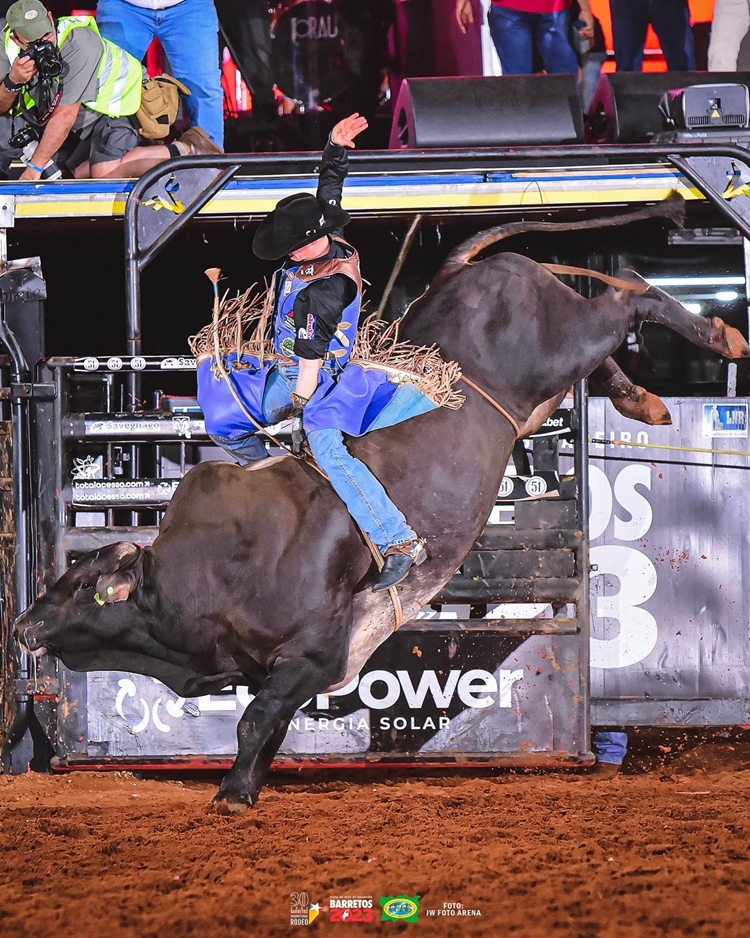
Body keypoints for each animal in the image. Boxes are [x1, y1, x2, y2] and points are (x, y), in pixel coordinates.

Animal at [13, 194, 750, 808]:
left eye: (78, 588)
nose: (21, 625)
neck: (203, 574)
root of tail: (463, 273)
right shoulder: (288, 670)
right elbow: (268, 727)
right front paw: (247, 786)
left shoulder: (312, 655)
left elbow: (254, 721)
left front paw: (230, 794)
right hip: (551, 380)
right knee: (613, 337)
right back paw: (642, 400)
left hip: (565, 342)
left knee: (630, 301)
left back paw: (720, 338)